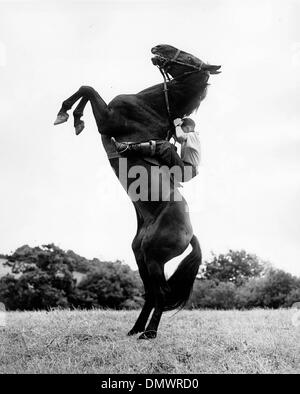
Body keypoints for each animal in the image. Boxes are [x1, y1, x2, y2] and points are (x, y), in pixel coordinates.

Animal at [55, 43, 221, 338]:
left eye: (189, 57)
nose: (159, 46)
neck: (151, 108)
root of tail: (190, 234)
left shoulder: (108, 120)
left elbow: (87, 89)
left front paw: (68, 115)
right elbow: (86, 91)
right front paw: (73, 118)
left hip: (154, 258)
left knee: (161, 293)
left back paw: (149, 333)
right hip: (140, 255)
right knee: (151, 294)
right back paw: (135, 329)